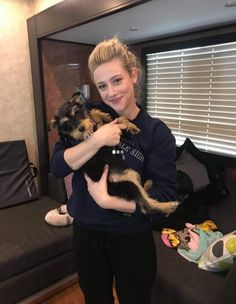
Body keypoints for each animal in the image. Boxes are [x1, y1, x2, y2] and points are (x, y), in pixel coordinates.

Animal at [50, 91, 178, 215]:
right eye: (67, 125)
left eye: (77, 113)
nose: (81, 128)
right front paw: (88, 132)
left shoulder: (105, 125)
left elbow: (115, 119)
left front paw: (120, 122)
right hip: (128, 184)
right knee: (146, 205)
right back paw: (168, 206)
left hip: (130, 174)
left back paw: (148, 185)